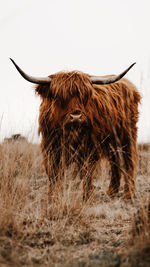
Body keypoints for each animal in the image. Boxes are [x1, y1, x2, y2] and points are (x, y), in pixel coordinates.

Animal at [10, 58, 141, 201]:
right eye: (60, 97)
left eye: (84, 96)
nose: (76, 116)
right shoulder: (51, 147)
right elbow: (54, 173)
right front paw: (53, 196)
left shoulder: (89, 147)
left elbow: (87, 172)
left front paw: (87, 196)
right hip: (112, 141)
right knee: (115, 162)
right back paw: (112, 192)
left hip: (127, 136)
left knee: (129, 161)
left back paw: (129, 193)